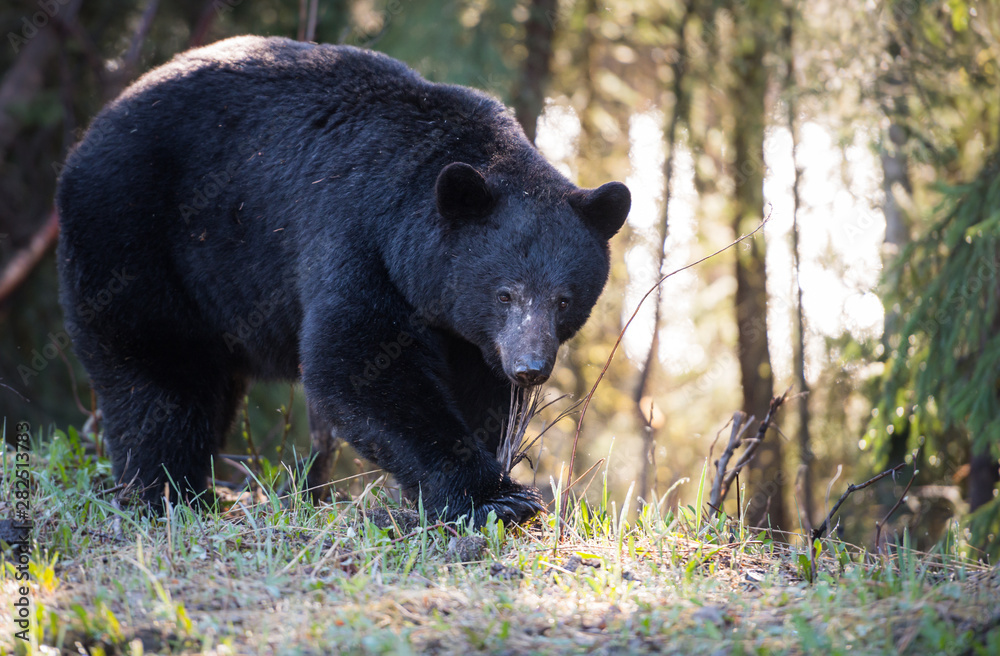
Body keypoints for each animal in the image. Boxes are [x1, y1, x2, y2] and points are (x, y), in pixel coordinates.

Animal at [56, 35, 630, 527]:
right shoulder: (356, 237)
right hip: (133, 235)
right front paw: (497, 498)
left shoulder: (469, 332)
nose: (530, 367)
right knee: (159, 374)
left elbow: (481, 391)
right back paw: (172, 493)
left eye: (563, 299)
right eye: (505, 292)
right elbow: (359, 362)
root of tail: (88, 134)